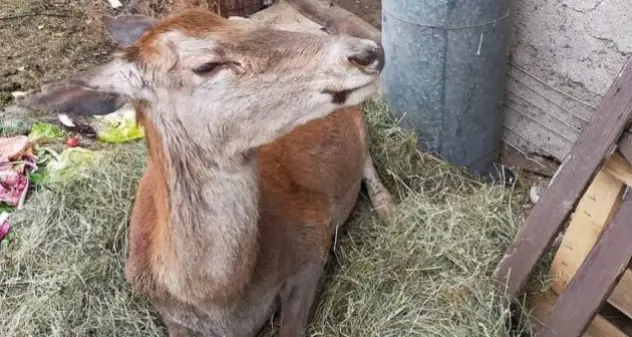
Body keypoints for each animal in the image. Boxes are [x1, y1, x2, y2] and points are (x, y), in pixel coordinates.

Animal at [17, 4, 392, 336]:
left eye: (239, 24)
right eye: (207, 65)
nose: (367, 51)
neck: (217, 300)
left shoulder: (312, 244)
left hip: (358, 123)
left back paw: (388, 209)